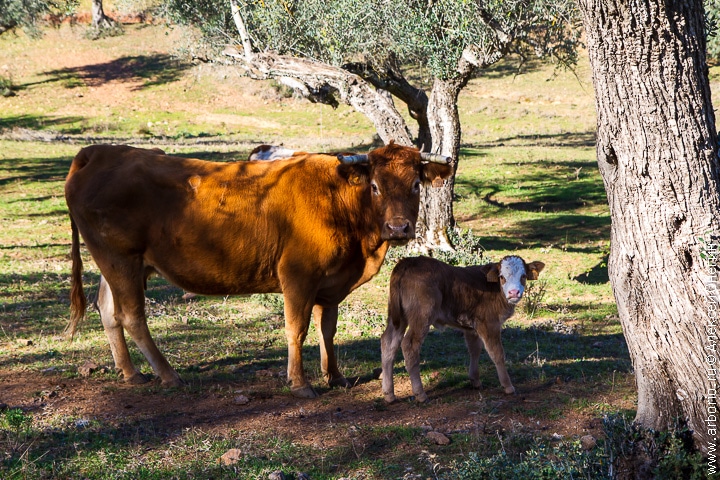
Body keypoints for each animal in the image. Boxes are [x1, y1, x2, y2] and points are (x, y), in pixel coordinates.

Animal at [66, 142, 450, 398]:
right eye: (375, 186)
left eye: (416, 185)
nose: (398, 228)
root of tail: (101, 151)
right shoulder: (297, 275)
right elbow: (297, 330)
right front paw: (299, 383)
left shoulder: (331, 284)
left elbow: (327, 330)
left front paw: (335, 377)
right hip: (121, 260)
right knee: (131, 316)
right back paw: (168, 374)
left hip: (121, 265)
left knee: (109, 310)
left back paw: (130, 373)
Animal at [380, 253, 544, 404]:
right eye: (502, 277)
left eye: (523, 276)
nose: (514, 292)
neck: (494, 287)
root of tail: (409, 261)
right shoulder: (489, 323)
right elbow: (497, 353)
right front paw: (508, 386)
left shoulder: (472, 327)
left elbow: (475, 350)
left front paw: (475, 380)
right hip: (421, 316)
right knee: (409, 345)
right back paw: (420, 394)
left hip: (397, 317)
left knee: (388, 342)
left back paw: (389, 394)